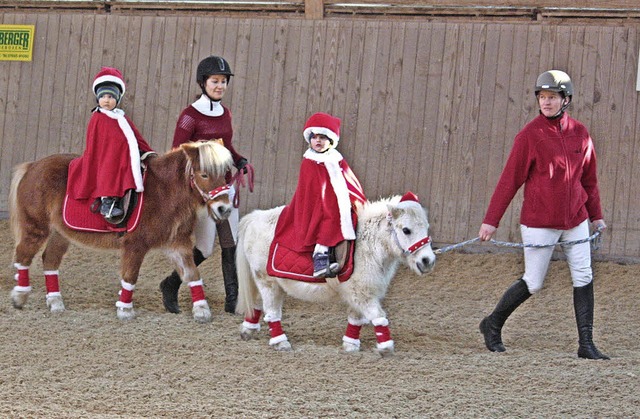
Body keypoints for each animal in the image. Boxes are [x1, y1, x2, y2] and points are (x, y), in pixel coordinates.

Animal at [8, 139, 234, 324]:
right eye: (204, 174)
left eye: (224, 174)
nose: (224, 209)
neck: (164, 192)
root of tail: (33, 166)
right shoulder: (135, 245)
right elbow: (130, 276)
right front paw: (125, 310)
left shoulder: (177, 244)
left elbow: (192, 273)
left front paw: (202, 310)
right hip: (36, 227)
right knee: (23, 256)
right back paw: (20, 296)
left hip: (60, 233)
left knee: (50, 260)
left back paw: (55, 302)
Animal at [238, 193, 438, 354]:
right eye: (406, 230)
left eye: (426, 227)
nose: (427, 261)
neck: (368, 245)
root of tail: (255, 217)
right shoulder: (362, 294)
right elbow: (378, 316)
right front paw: (386, 348)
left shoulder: (359, 294)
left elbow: (356, 320)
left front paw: (351, 346)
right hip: (267, 281)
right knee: (271, 311)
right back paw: (281, 342)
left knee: (256, 304)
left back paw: (249, 330)